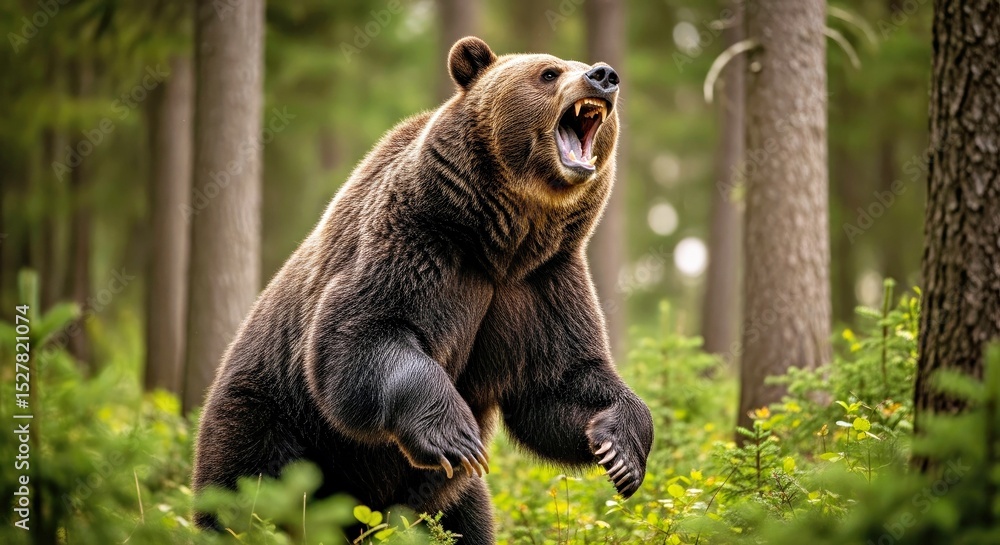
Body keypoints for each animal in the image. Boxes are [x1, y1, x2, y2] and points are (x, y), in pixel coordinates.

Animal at [192, 36, 654, 544]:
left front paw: (621, 449)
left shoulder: (542, 283)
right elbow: (363, 335)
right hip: (271, 419)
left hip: (442, 499)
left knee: (465, 521)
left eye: (580, 65)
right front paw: (456, 435)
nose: (603, 76)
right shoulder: (417, 242)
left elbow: (559, 381)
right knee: (248, 497)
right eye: (549, 73)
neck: (501, 239)